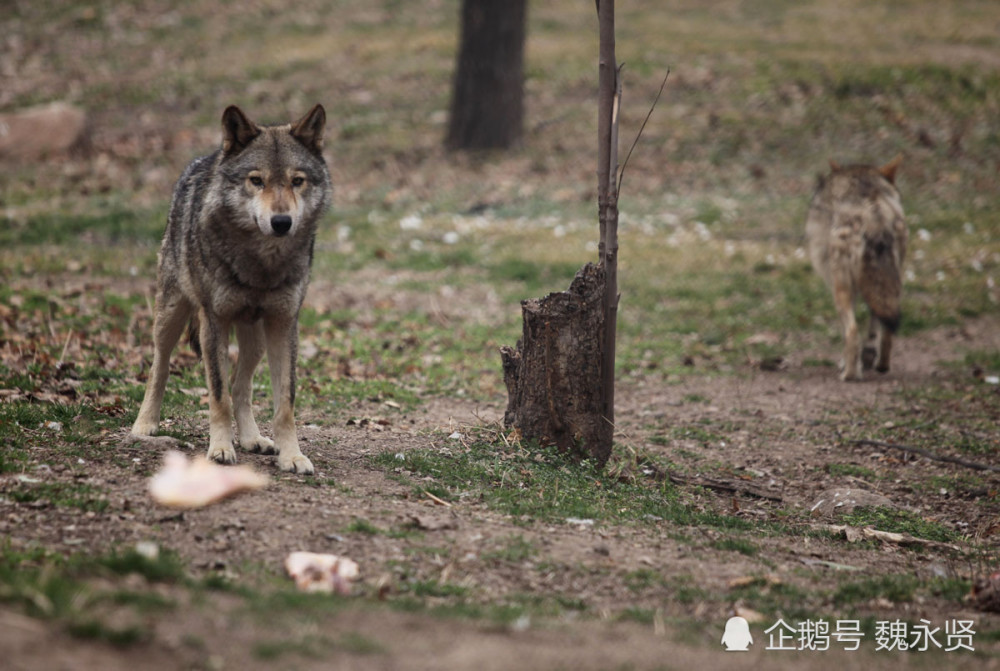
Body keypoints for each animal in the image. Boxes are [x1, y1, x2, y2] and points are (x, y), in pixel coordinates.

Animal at [127, 105, 332, 472]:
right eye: (256, 180)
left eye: (297, 181)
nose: (282, 222)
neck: (261, 264)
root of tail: (204, 159)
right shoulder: (214, 322)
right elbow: (218, 395)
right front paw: (220, 449)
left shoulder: (284, 324)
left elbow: (285, 402)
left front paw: (292, 455)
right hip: (170, 316)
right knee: (159, 366)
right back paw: (145, 424)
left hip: (256, 338)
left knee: (242, 386)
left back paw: (253, 438)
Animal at [804, 154, 908, 380]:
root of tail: (874, 214)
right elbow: (873, 325)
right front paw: (867, 358)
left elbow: (848, 333)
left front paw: (847, 363)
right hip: (893, 283)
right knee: (887, 329)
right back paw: (881, 365)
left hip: (841, 288)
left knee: (851, 332)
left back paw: (849, 375)